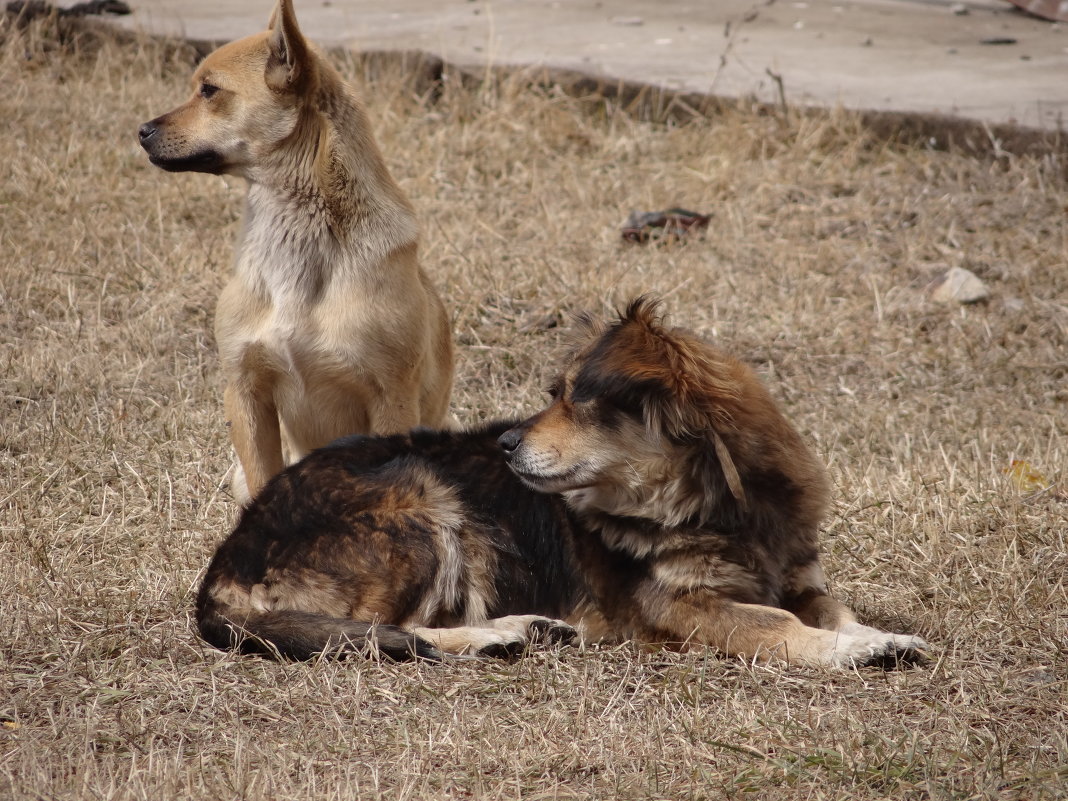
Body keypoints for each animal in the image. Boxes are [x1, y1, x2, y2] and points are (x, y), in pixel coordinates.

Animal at [196, 299, 931, 666]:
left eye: (577, 400)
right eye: (558, 393)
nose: (504, 444)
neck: (713, 503)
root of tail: (221, 568)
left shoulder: (803, 576)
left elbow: (830, 607)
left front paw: (874, 635)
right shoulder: (686, 607)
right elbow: (778, 625)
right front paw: (849, 650)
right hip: (421, 500)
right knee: (384, 631)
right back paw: (499, 634)